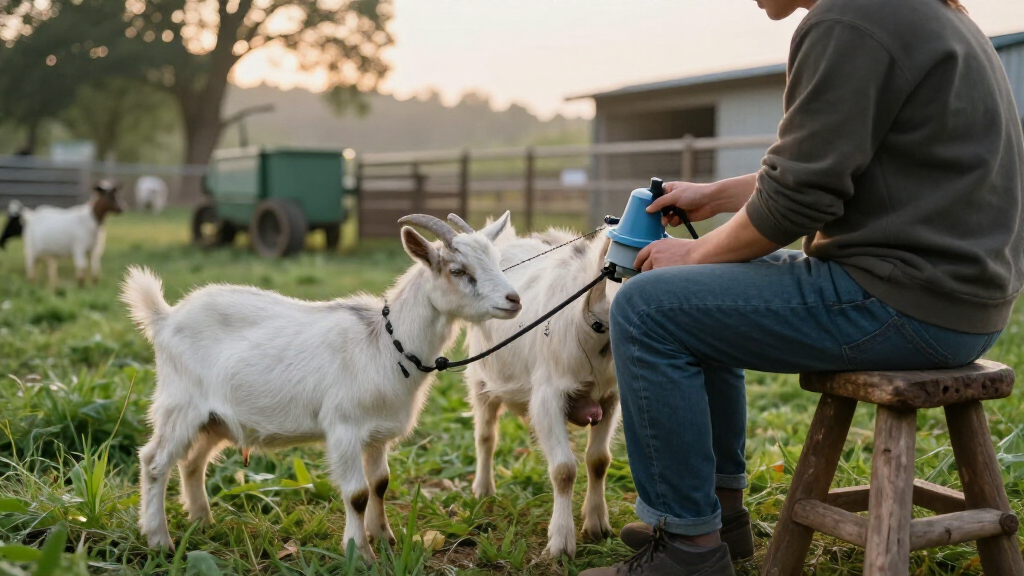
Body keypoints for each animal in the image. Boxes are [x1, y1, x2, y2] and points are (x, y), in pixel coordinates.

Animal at [120, 212, 520, 560]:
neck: (385, 343)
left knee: (192, 462)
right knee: (155, 461)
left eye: (496, 261)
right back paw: (159, 539)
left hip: (215, 419)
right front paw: (360, 553)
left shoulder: (378, 434)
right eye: (458, 270)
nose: (513, 299)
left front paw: (385, 538)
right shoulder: (343, 428)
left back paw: (202, 521)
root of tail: (165, 318)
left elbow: (380, 484)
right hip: (180, 405)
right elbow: (357, 494)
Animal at [464, 224, 619, 558]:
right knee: (485, 435)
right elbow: (563, 469)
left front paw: (597, 524)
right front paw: (561, 542)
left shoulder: (611, 398)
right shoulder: (548, 396)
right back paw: (483, 489)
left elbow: (599, 460)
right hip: (480, 379)